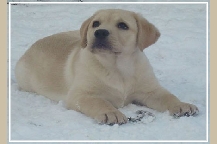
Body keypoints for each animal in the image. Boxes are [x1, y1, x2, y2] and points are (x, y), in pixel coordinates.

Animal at [15, 8, 198, 125]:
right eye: (96, 23)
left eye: (123, 25)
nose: (100, 32)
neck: (118, 67)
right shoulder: (80, 95)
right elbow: (99, 102)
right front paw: (111, 113)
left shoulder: (151, 91)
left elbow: (168, 96)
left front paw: (182, 105)